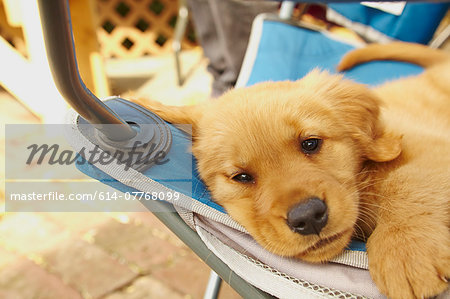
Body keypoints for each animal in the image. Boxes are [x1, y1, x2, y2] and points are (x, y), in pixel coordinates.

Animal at [139, 42, 448, 299]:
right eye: (241, 177)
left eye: (310, 143)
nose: (308, 217)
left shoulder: (429, 146)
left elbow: (405, 180)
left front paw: (406, 251)